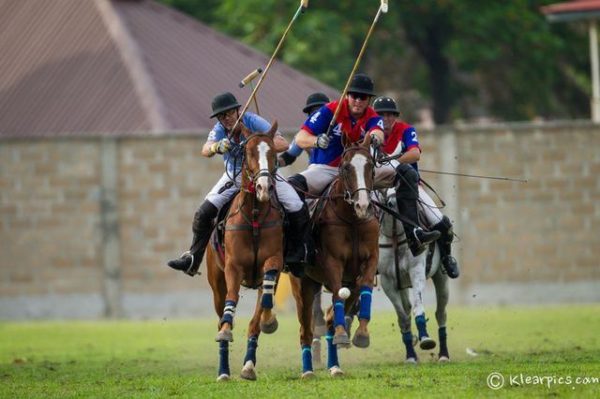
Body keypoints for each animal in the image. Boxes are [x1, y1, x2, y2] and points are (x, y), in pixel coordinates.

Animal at [204, 123, 284, 382]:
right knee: (221, 313)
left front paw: (269, 320)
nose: (264, 188)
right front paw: (226, 332)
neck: (255, 214)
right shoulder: (233, 267)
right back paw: (223, 369)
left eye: (273, 153)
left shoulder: (275, 261)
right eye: (248, 152)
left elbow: (260, 312)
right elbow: (231, 301)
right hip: (215, 282)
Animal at [292, 134, 380, 378]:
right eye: (346, 167)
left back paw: (335, 366)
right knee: (305, 328)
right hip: (303, 284)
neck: (352, 220)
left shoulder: (371, 260)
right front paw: (343, 333)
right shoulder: (333, 262)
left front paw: (361, 334)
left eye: (370, 166)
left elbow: (365, 288)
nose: (363, 206)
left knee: (330, 316)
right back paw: (307, 370)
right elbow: (337, 295)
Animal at [378, 189, 448, 364]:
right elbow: (403, 318)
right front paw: (410, 355)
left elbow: (418, 307)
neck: (396, 237)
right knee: (407, 308)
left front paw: (425, 339)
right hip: (402, 284)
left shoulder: (416, 271)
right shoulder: (387, 281)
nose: (391, 203)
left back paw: (444, 354)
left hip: (441, 278)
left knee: (440, 313)